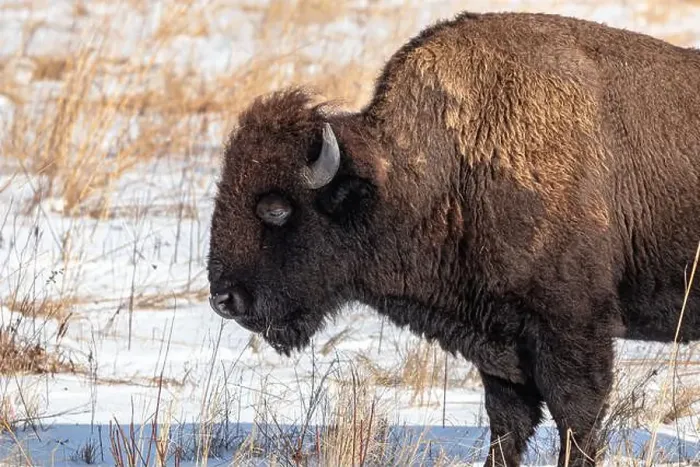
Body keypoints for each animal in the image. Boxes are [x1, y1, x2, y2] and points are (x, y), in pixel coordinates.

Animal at [207, 10, 700, 467]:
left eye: (276, 207)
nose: (224, 299)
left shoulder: (572, 328)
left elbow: (576, 417)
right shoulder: (502, 342)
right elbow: (508, 422)